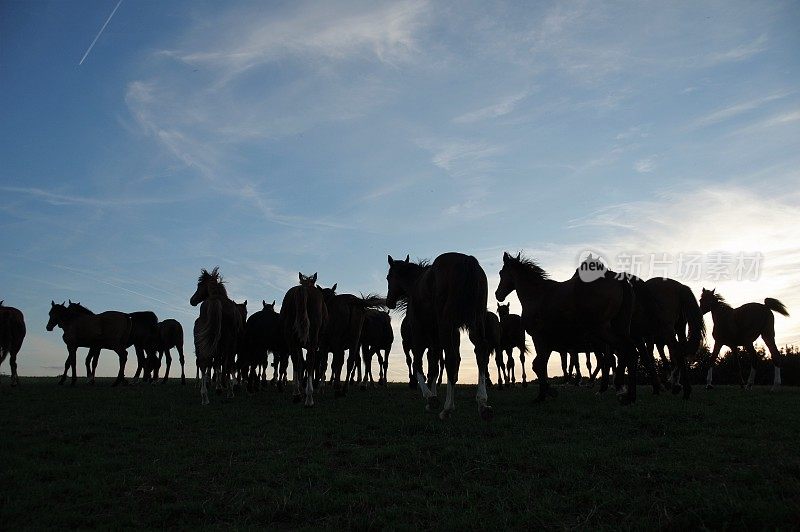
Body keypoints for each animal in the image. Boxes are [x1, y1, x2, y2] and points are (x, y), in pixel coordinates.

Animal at [189, 268, 242, 406]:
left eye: (199, 285)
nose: (192, 300)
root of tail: (215, 300)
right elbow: (224, 364)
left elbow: (218, 363)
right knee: (220, 362)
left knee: (205, 362)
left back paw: (206, 395)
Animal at [282, 272, 328, 406]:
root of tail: (304, 288)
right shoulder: (321, 344)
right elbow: (318, 363)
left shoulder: (298, 344)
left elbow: (301, 363)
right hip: (312, 339)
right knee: (311, 360)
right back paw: (309, 398)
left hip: (291, 339)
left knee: (295, 360)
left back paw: (297, 394)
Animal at [384, 254, 490, 420]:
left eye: (388, 277)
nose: (389, 302)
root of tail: (467, 260)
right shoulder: (437, 338)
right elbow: (433, 367)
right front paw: (433, 397)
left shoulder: (419, 334)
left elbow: (419, 364)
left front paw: (430, 397)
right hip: (476, 323)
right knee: (480, 353)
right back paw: (482, 404)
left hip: (446, 325)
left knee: (452, 359)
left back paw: (447, 409)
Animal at [496, 252, 640, 404]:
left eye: (501, 273)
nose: (498, 294)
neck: (536, 295)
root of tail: (617, 279)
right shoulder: (549, 342)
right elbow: (540, 365)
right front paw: (549, 391)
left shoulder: (539, 338)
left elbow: (539, 365)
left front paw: (543, 395)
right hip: (619, 329)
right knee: (627, 353)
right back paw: (627, 394)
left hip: (601, 330)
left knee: (624, 352)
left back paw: (624, 393)